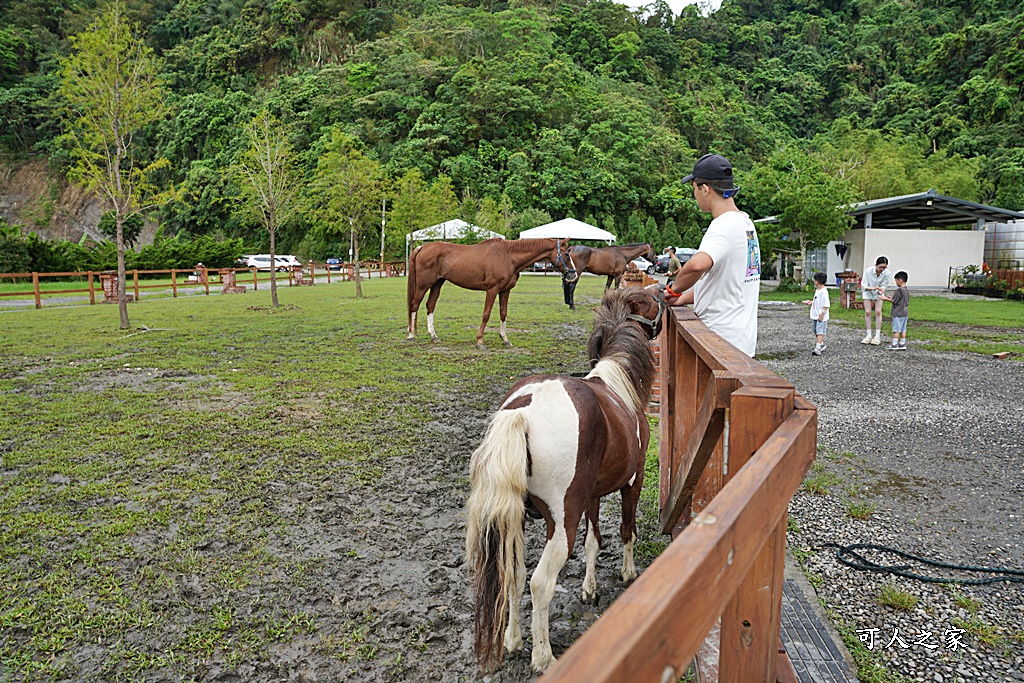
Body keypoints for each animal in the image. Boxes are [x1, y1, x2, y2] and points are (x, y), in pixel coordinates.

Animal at [403, 239, 573, 348]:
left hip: (437, 283)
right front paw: (480, 341)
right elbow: (486, 314)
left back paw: (434, 336)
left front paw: (505, 339)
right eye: (566, 254)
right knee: (414, 304)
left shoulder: (505, 290)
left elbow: (503, 313)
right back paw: (411, 335)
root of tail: (422, 247)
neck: (508, 256)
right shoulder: (492, 290)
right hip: (424, 285)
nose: (573, 274)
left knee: (430, 305)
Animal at [466, 284, 663, 671]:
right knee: (541, 582)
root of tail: (522, 410)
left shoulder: (592, 496)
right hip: (560, 522)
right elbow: (626, 531)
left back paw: (513, 640)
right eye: (648, 303)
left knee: (514, 575)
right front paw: (628, 574)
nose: (664, 288)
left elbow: (593, 541)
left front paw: (589, 589)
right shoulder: (633, 483)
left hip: (516, 520)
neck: (617, 385)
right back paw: (544, 657)